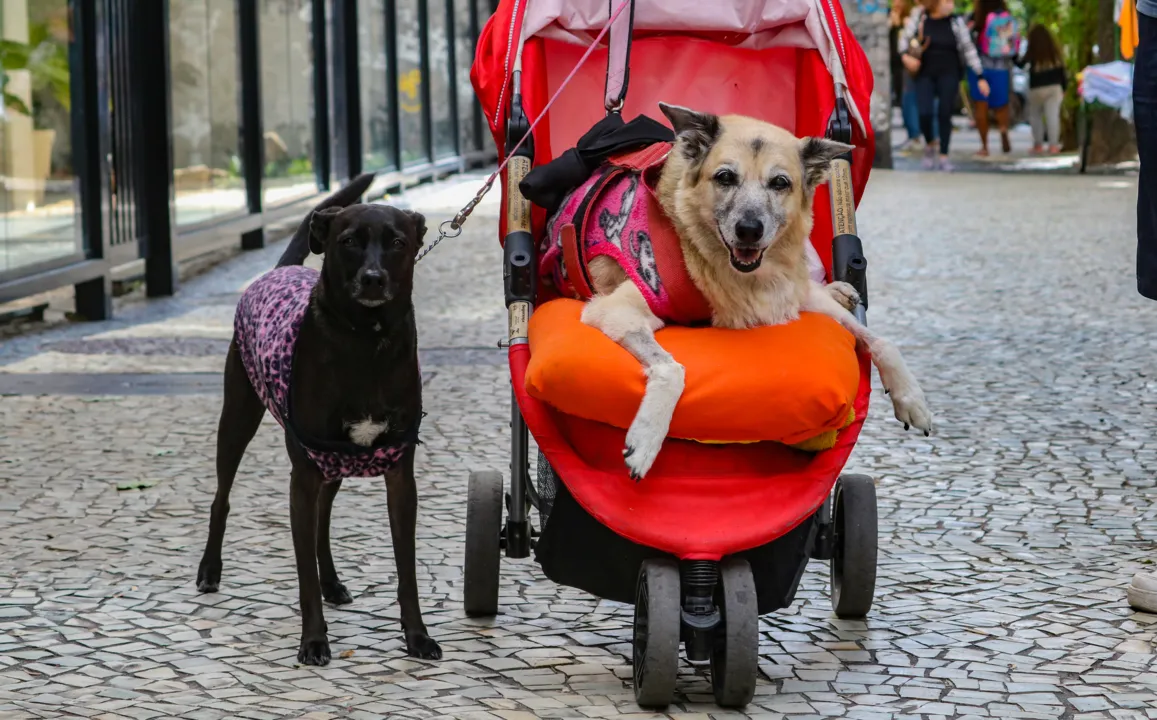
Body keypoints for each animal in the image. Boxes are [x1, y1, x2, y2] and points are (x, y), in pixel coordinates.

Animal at [194, 173, 437, 666]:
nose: (373, 278)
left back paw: (333, 582)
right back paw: (210, 569)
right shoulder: (301, 478)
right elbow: (302, 573)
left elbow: (407, 571)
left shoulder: (400, 479)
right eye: (348, 242)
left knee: (324, 519)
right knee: (221, 497)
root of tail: (279, 270)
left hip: (334, 463)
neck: (366, 340)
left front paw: (417, 636)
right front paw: (313, 641)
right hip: (238, 421)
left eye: (398, 242)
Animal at [578, 103, 930, 479]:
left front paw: (912, 398)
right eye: (725, 177)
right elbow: (673, 369)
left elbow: (880, 340)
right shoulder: (616, 310)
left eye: (780, 183)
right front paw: (645, 440)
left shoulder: (790, 298)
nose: (749, 230)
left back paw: (840, 289)